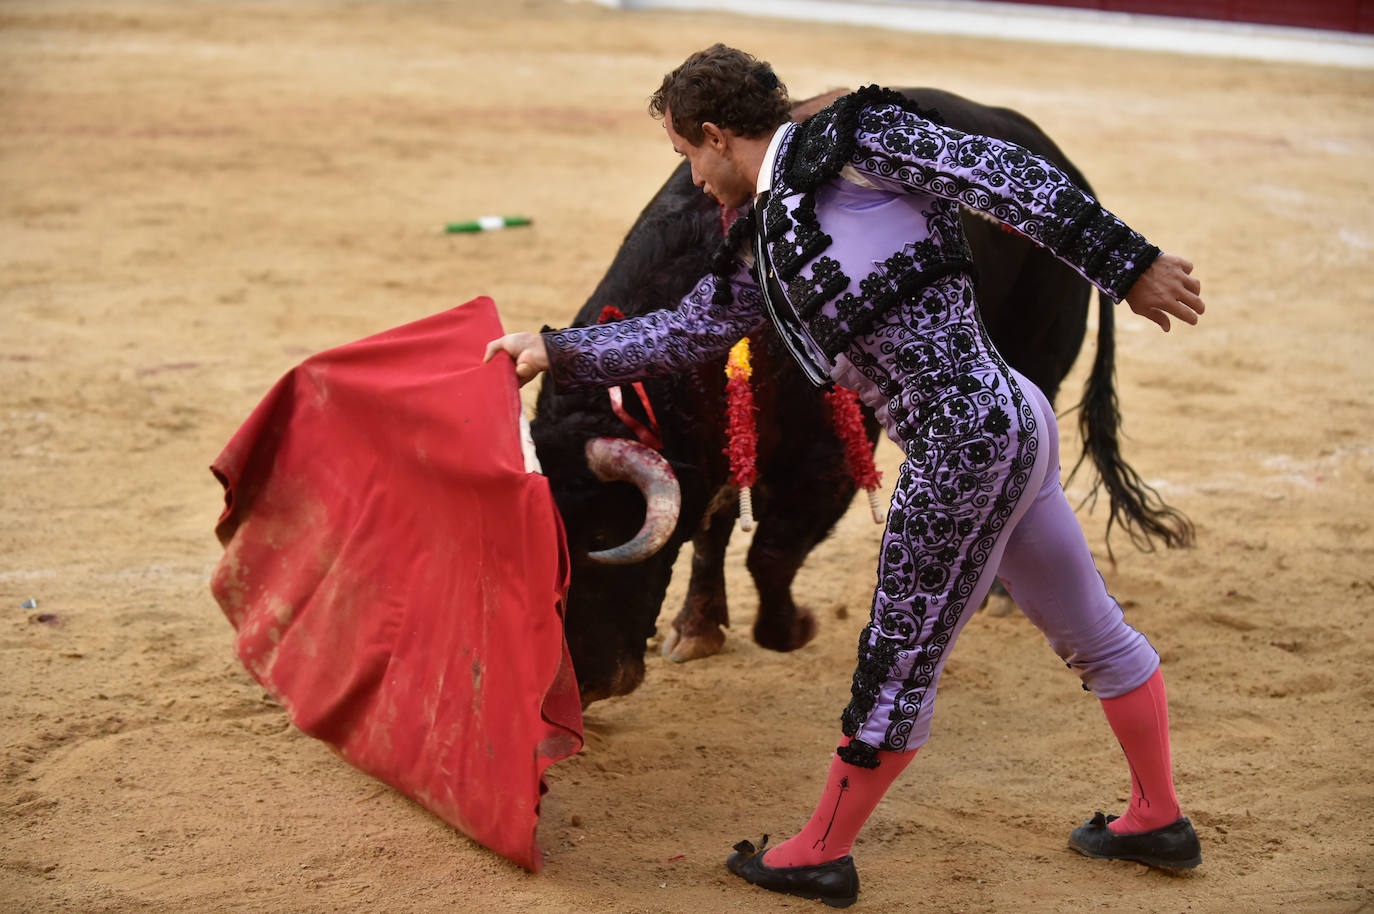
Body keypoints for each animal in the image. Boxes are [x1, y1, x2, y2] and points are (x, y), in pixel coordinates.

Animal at [530, 87, 1198, 703]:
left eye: (601, 538)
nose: (588, 686)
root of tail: (1065, 160)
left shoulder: (824, 460)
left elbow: (768, 551)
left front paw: (790, 628)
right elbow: (712, 530)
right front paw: (697, 629)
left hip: (1040, 358)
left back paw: (1002, 595)